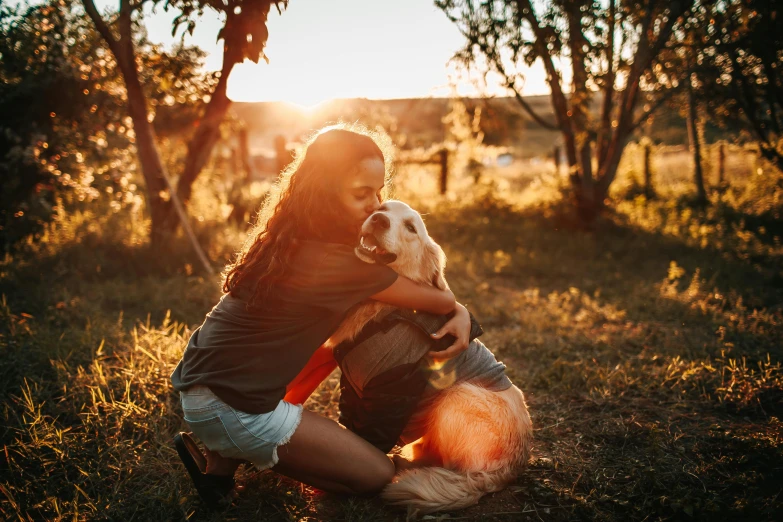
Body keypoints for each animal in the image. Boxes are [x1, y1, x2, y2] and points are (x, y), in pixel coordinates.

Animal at [324, 200, 532, 512]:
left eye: (411, 227)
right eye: (382, 207)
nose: (379, 219)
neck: (384, 310)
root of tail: (510, 469)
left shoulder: (389, 394)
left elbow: (367, 435)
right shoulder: (353, 385)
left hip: (457, 394)